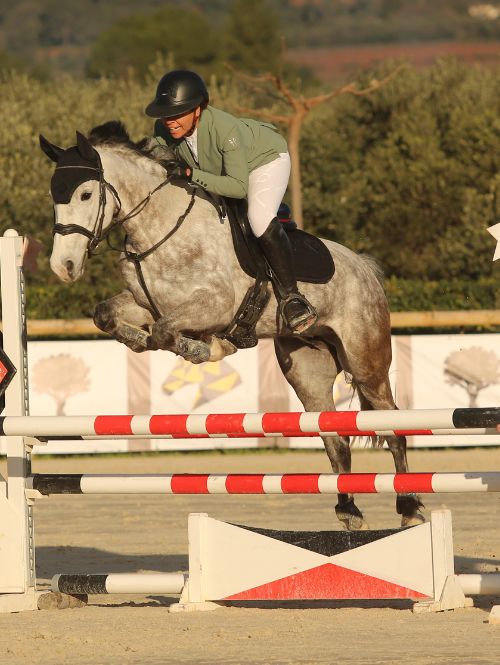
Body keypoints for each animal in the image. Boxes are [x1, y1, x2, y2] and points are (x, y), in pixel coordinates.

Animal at [40, 120, 424, 530]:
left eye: (85, 193)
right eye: (54, 197)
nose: (62, 267)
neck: (161, 228)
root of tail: (364, 267)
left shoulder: (214, 305)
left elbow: (166, 333)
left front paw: (205, 347)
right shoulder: (147, 303)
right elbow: (108, 316)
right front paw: (145, 342)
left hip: (367, 362)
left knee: (393, 428)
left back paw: (409, 508)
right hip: (308, 370)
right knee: (335, 439)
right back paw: (349, 511)